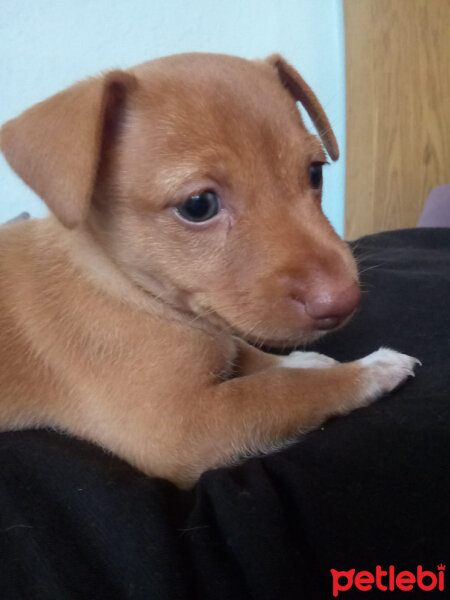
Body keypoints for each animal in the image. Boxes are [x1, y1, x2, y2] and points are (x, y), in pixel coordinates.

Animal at [0, 52, 418, 488]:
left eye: (315, 172)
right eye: (198, 205)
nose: (345, 300)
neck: (123, 285)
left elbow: (248, 352)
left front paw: (302, 360)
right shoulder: (181, 429)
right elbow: (281, 390)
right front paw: (370, 368)